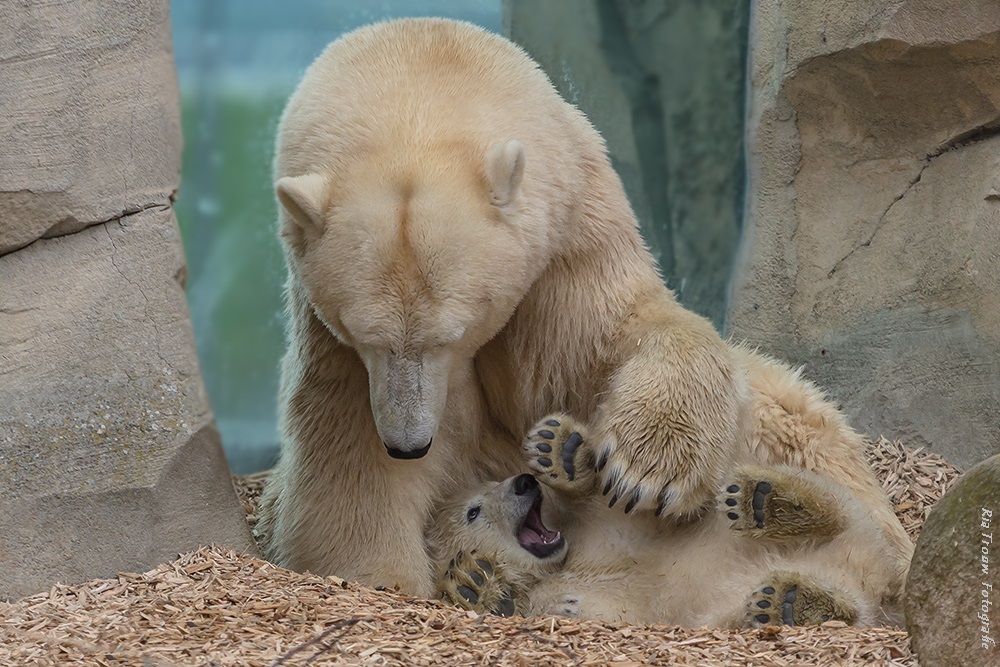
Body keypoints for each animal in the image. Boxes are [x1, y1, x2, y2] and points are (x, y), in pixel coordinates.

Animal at [254, 18, 912, 596]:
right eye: (362, 333)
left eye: (452, 333)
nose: (411, 442)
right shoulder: (335, 350)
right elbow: (351, 456)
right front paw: (381, 575)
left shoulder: (567, 242)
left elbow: (617, 335)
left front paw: (647, 469)